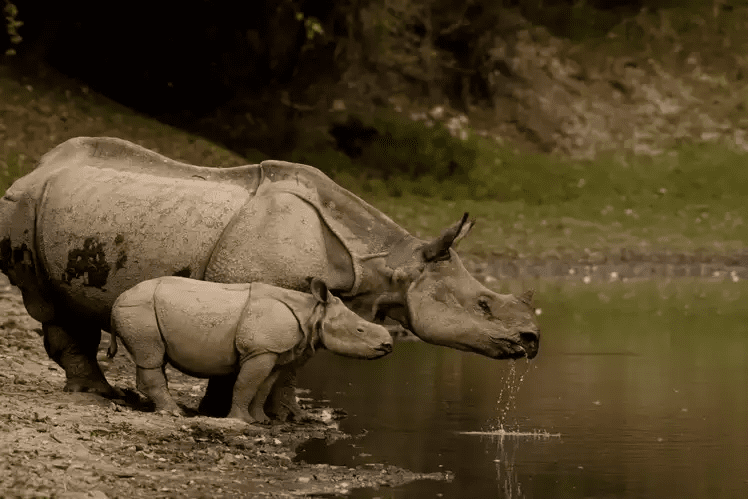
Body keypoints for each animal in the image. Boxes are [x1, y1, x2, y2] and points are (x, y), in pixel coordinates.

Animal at [109, 276, 398, 424]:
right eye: (360, 330)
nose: (388, 345)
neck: (313, 311)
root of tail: (118, 298)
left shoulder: (276, 353)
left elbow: (263, 387)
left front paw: (262, 421)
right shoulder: (261, 349)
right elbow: (246, 384)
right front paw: (242, 422)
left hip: (141, 308)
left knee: (150, 359)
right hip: (139, 308)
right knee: (151, 357)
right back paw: (173, 413)